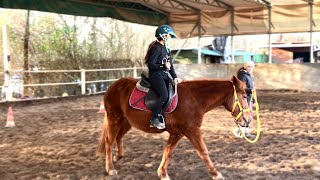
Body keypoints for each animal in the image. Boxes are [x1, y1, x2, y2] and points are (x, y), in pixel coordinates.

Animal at [96, 75, 251, 179]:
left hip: (126, 122)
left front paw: (163, 173)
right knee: (109, 141)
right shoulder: (191, 130)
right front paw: (216, 173)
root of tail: (113, 86)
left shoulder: (177, 133)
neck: (194, 99)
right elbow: (203, 151)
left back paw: (118, 156)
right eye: (244, 96)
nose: (248, 120)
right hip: (115, 119)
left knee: (118, 137)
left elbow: (168, 152)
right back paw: (110, 168)